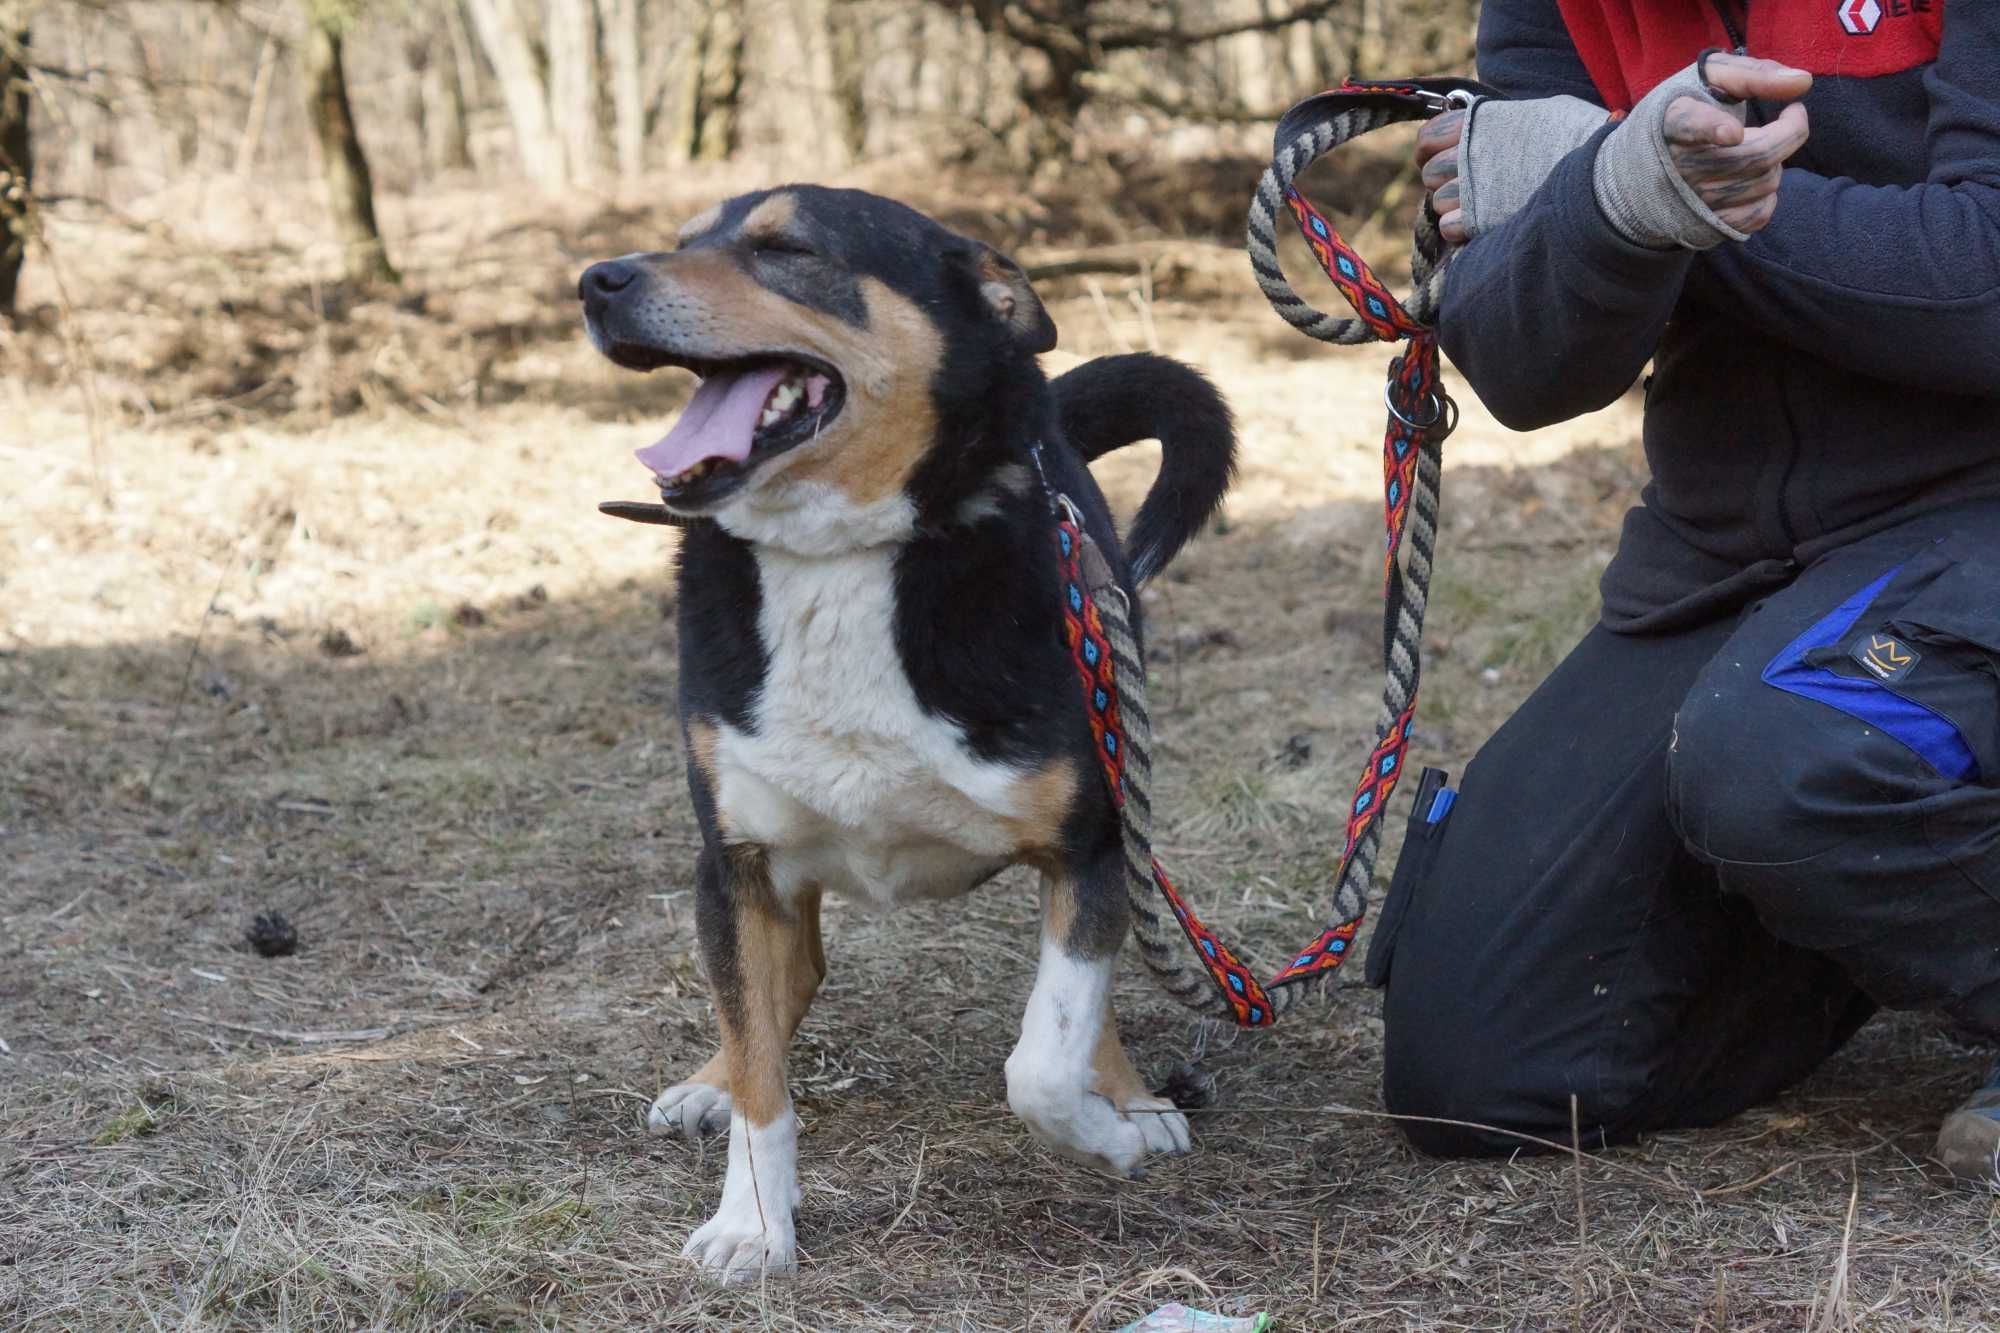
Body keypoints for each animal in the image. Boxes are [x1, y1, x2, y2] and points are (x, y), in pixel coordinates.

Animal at [580, 187, 1232, 1280]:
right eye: (683, 237)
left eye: (786, 246)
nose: (596, 280)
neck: (839, 556)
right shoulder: (736, 858)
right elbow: (762, 1067)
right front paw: (753, 1220)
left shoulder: (1089, 846)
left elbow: (1045, 1058)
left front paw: (1109, 1131)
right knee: (779, 992)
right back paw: (709, 1079)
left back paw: (1131, 1093)